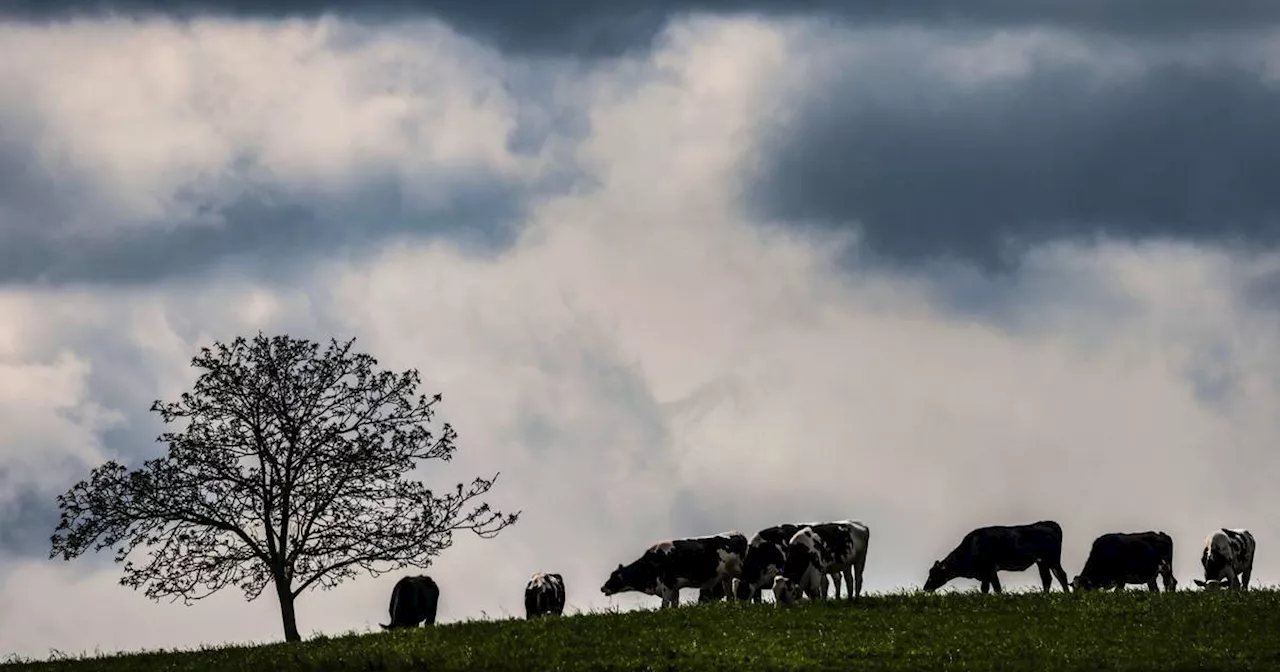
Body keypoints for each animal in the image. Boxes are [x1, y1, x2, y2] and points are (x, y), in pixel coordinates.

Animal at [599, 529, 747, 606]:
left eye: (614, 577)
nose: (602, 588)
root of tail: (738, 533)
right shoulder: (674, 588)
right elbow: (674, 605)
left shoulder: (667, 586)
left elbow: (664, 606)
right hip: (726, 577)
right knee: (729, 594)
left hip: (740, 570)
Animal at [921, 519, 1070, 591]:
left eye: (934, 574)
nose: (925, 588)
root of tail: (1048, 523)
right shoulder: (984, 573)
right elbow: (986, 589)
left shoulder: (990, 569)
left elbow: (995, 588)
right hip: (1041, 561)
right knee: (1047, 579)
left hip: (1052, 559)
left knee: (1061, 575)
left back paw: (1067, 594)